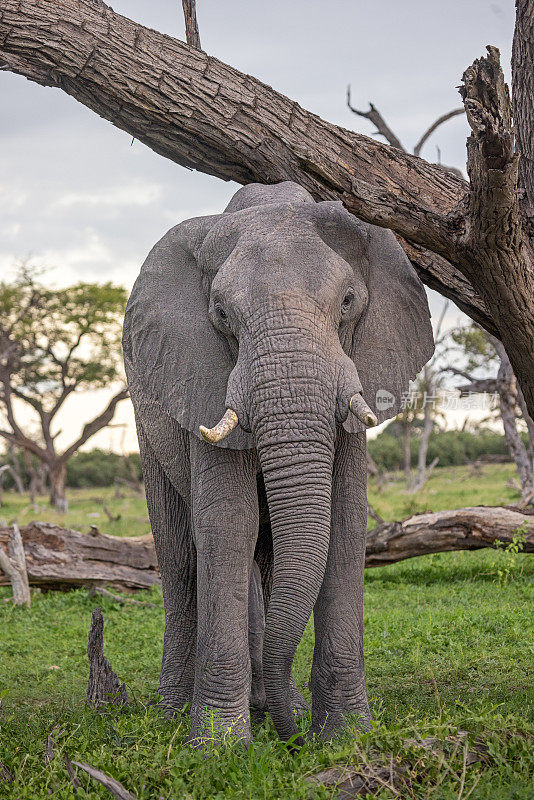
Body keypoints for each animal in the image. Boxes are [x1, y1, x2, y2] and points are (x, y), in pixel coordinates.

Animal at [122, 180, 436, 744]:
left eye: (348, 303)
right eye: (222, 315)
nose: (297, 737)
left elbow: (344, 523)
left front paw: (344, 737)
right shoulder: (201, 376)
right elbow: (228, 525)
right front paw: (219, 747)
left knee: (265, 560)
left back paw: (270, 706)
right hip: (145, 416)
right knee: (181, 557)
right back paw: (176, 714)